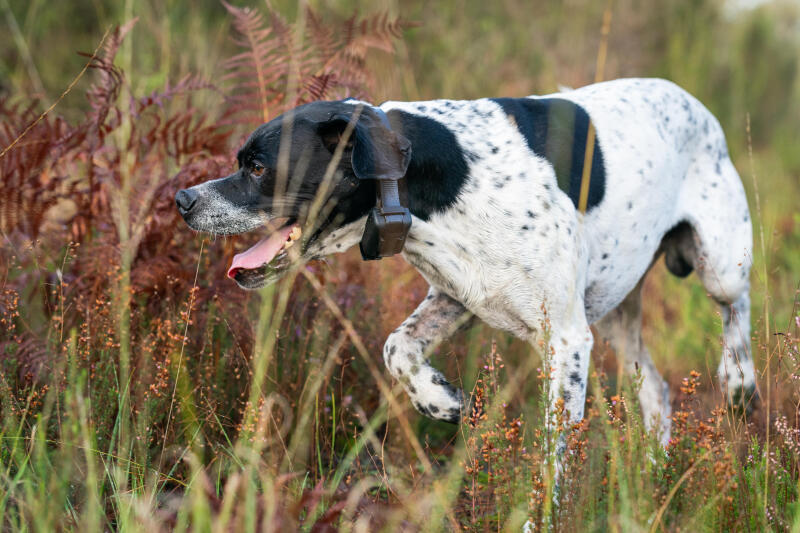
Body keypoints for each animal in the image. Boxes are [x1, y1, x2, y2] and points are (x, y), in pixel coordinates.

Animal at [175, 78, 756, 444]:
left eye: (256, 167)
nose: (183, 199)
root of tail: (693, 102)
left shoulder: (566, 340)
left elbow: (553, 458)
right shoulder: (458, 294)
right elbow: (395, 347)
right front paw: (440, 400)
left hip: (718, 266)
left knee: (736, 308)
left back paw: (738, 379)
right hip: (612, 308)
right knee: (656, 390)